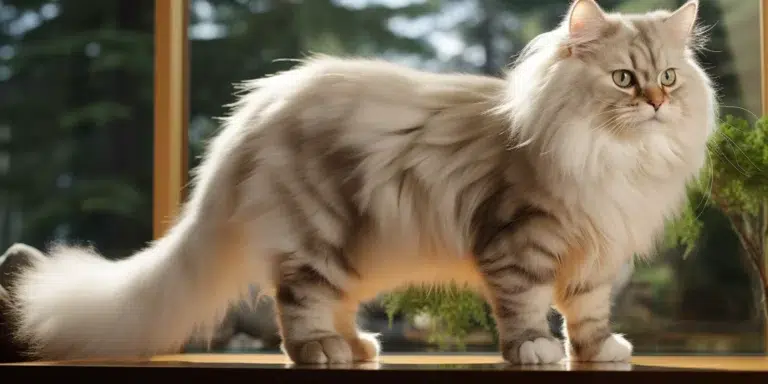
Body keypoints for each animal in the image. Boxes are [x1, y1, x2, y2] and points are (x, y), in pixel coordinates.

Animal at [4, 0, 712, 364]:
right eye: (624, 79)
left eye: (668, 78)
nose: (656, 102)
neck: (616, 160)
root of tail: (257, 109)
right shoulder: (520, 238)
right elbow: (528, 306)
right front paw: (535, 350)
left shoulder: (596, 254)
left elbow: (587, 312)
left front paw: (601, 350)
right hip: (319, 232)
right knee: (296, 304)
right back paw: (324, 351)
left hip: (358, 246)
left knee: (329, 302)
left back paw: (359, 346)